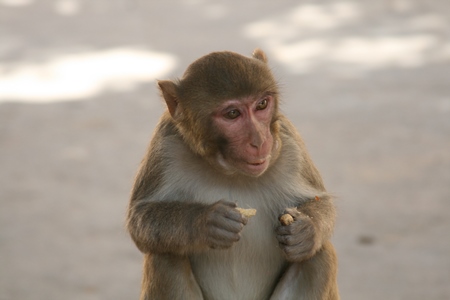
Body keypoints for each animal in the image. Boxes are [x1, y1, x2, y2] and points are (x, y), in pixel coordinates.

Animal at [125, 49, 338, 300]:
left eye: (262, 104)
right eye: (233, 114)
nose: (260, 140)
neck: (232, 173)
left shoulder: (290, 142)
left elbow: (321, 202)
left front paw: (305, 232)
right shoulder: (164, 144)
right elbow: (139, 219)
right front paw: (206, 222)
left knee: (319, 256)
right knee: (165, 257)